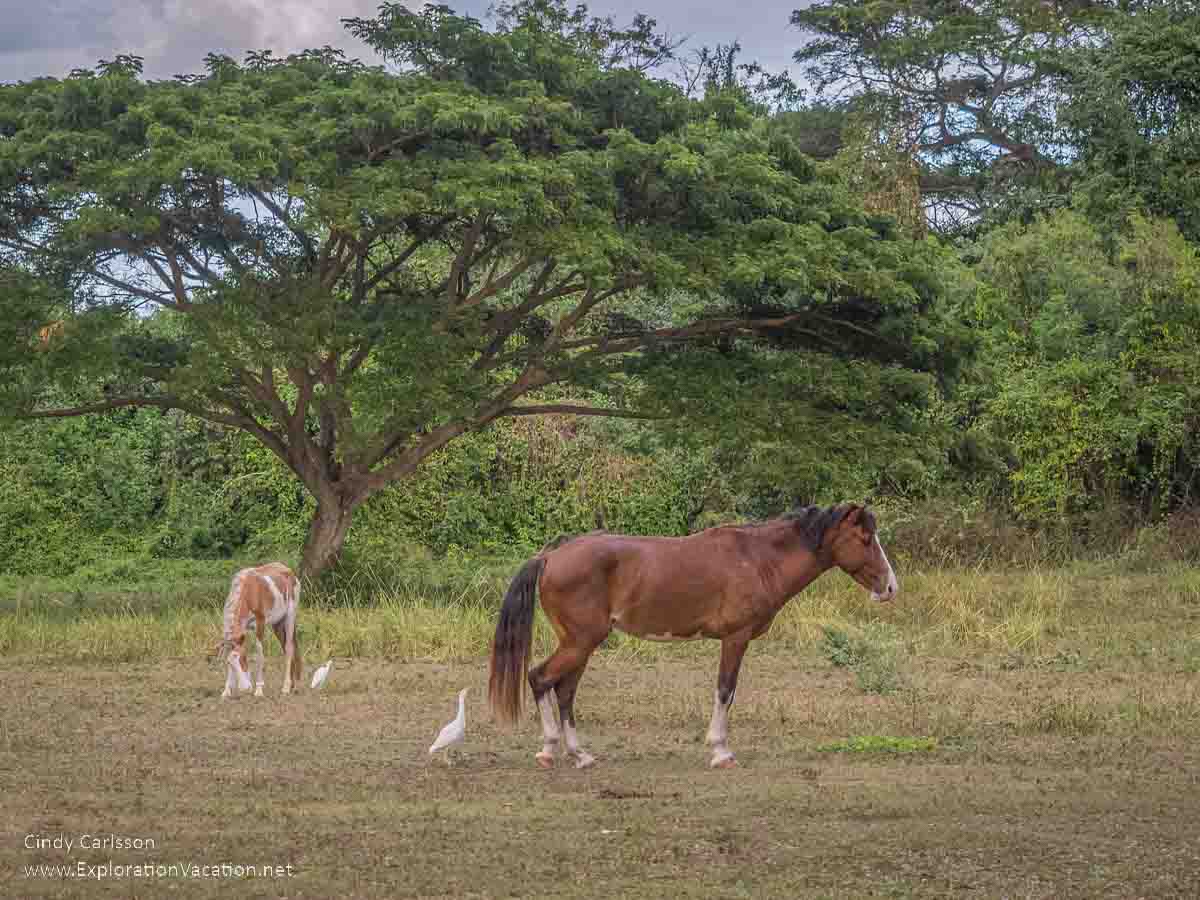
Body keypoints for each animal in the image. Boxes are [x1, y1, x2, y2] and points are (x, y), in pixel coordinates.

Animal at [217, 561, 302, 700]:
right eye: (230, 663)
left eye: (243, 658)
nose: (245, 688)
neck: (248, 592)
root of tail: (289, 571)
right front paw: (226, 691)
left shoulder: (260, 624)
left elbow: (259, 654)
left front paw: (258, 690)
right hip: (277, 624)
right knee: (286, 647)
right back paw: (294, 685)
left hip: (290, 616)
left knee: (289, 648)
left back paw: (286, 687)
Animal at [489, 504, 902, 772]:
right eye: (865, 538)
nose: (890, 587)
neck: (758, 559)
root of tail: (551, 556)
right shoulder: (735, 639)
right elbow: (725, 690)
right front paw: (721, 752)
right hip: (580, 642)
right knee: (540, 677)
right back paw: (549, 750)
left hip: (580, 645)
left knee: (564, 691)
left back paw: (579, 754)